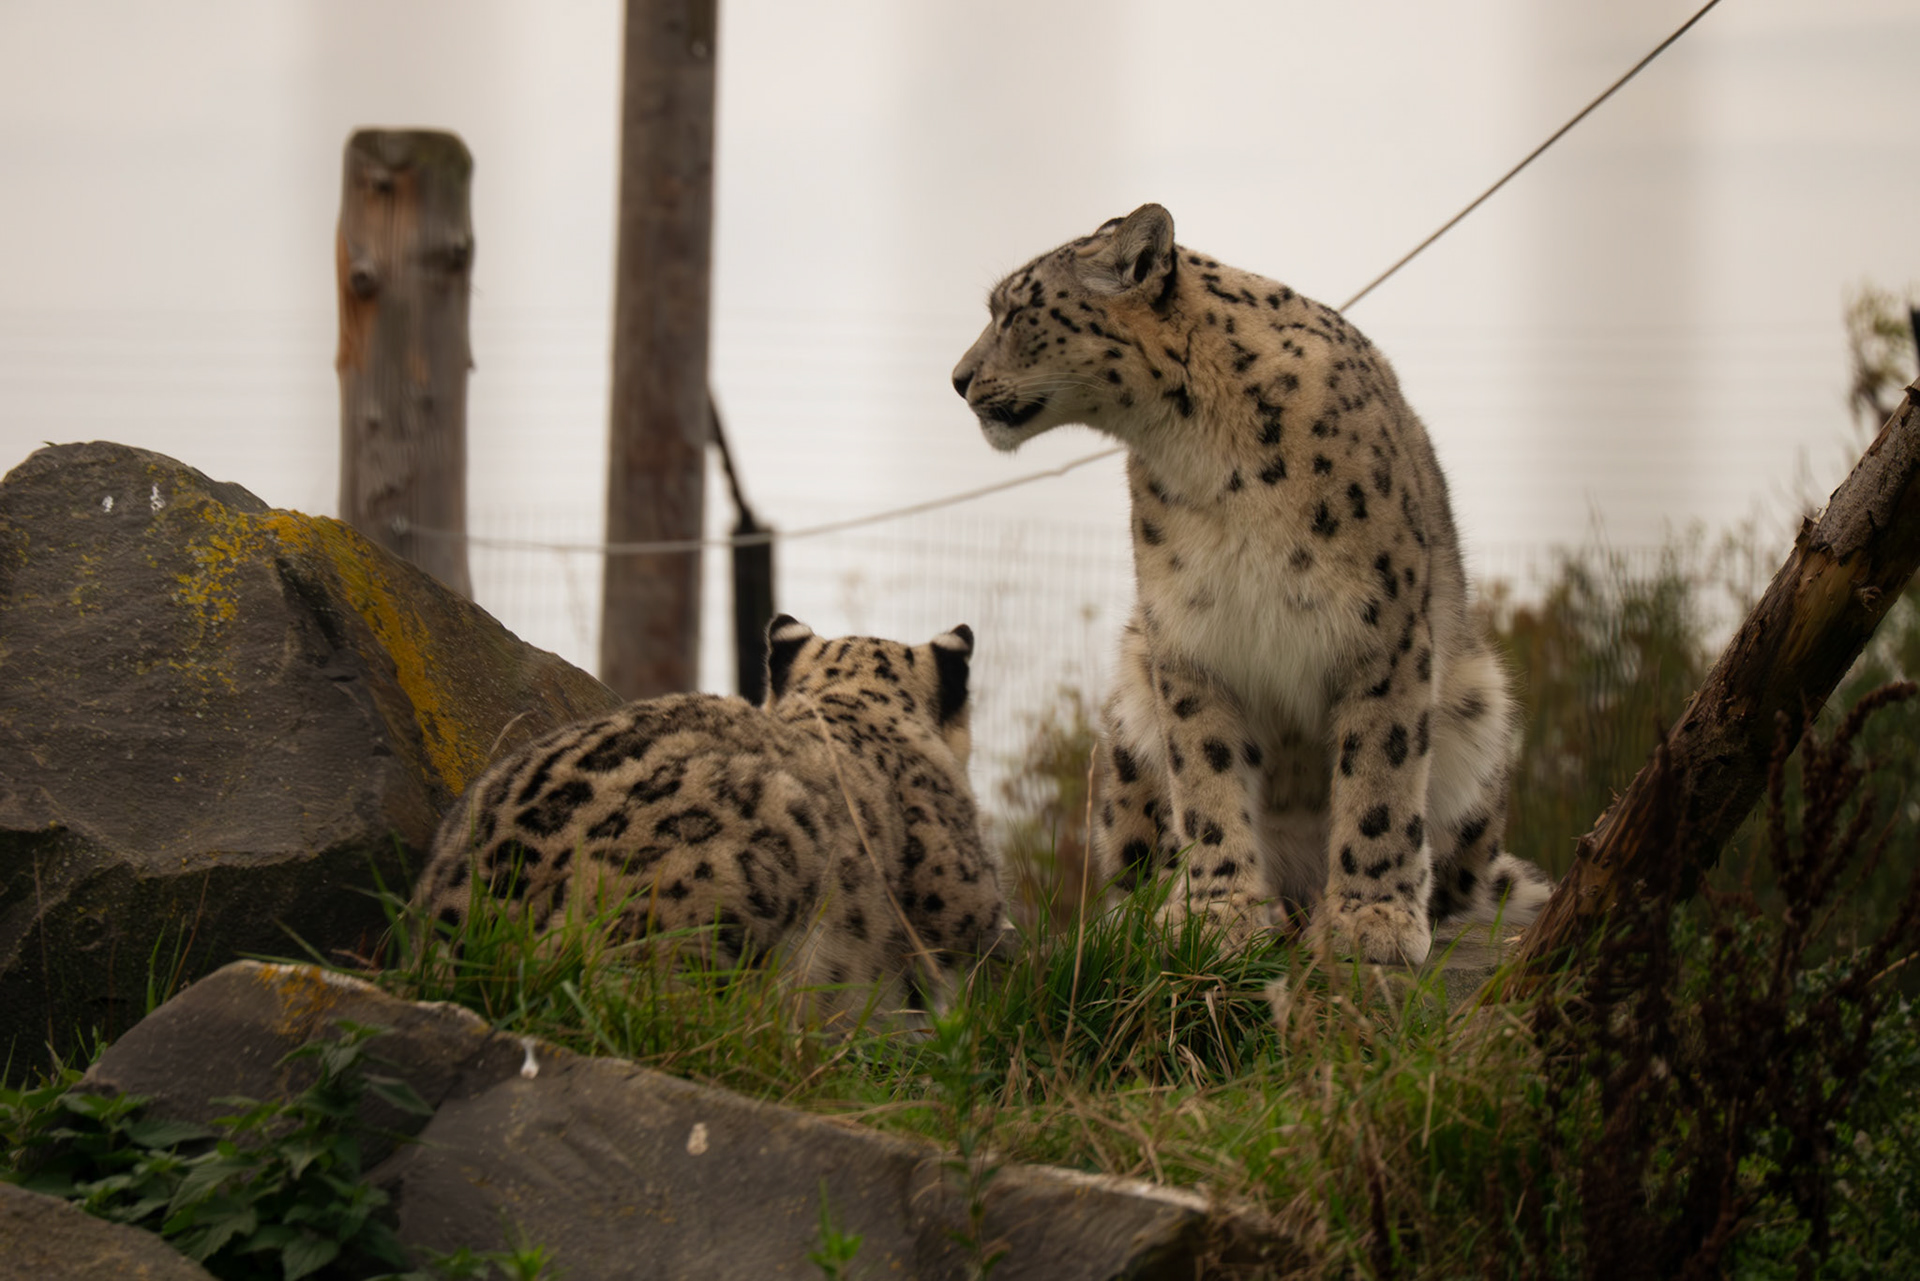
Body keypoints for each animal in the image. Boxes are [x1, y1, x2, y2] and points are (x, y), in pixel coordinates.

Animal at [951, 203, 1550, 964]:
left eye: (1015, 310)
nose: (958, 378)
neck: (1209, 453)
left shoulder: (1381, 632)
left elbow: (1379, 773)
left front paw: (1370, 920)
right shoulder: (1190, 635)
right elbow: (1206, 777)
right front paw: (1216, 915)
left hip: (1480, 703)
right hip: (1130, 699)